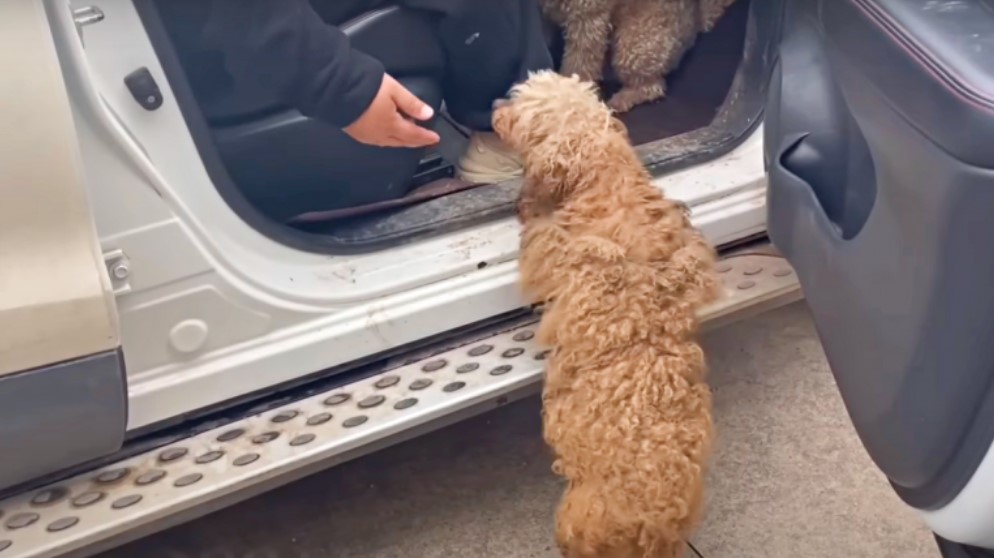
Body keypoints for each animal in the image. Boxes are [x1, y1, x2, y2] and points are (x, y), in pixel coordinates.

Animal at [494, 71, 712, 558]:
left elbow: (538, 231)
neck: (603, 177)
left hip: (577, 519)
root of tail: (657, 523)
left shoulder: (552, 250)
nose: (496, 108)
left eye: (523, 109)